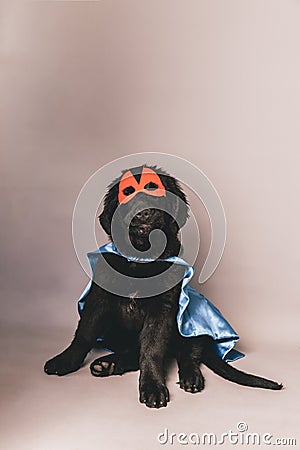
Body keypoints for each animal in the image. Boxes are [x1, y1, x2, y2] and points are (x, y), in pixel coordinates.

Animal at [44, 165, 282, 408]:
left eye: (153, 187)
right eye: (127, 192)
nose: (143, 212)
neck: (140, 259)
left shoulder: (162, 309)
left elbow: (152, 349)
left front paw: (152, 386)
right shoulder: (99, 299)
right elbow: (84, 333)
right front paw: (64, 360)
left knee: (188, 352)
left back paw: (190, 377)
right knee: (135, 353)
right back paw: (110, 363)